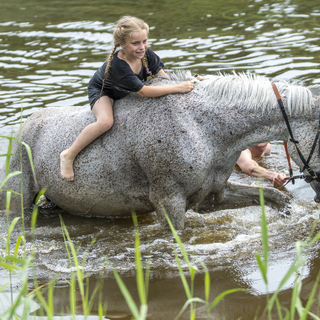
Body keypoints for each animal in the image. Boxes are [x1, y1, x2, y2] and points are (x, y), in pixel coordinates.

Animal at [0, 73, 320, 229]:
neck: (203, 126)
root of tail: (22, 129)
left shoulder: (213, 197)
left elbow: (274, 197)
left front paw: (288, 214)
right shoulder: (170, 203)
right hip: (19, 202)